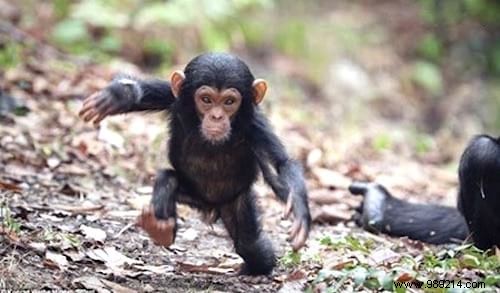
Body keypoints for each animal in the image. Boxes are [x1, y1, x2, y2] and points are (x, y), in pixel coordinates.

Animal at [79, 52, 310, 274]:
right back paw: (161, 229)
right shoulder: (176, 97)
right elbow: (146, 94)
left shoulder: (256, 128)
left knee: (251, 247)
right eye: (206, 99)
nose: (216, 116)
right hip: (191, 196)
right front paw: (117, 96)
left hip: (235, 202)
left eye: (229, 102)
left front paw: (300, 212)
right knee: (168, 179)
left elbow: (281, 164)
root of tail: (209, 208)